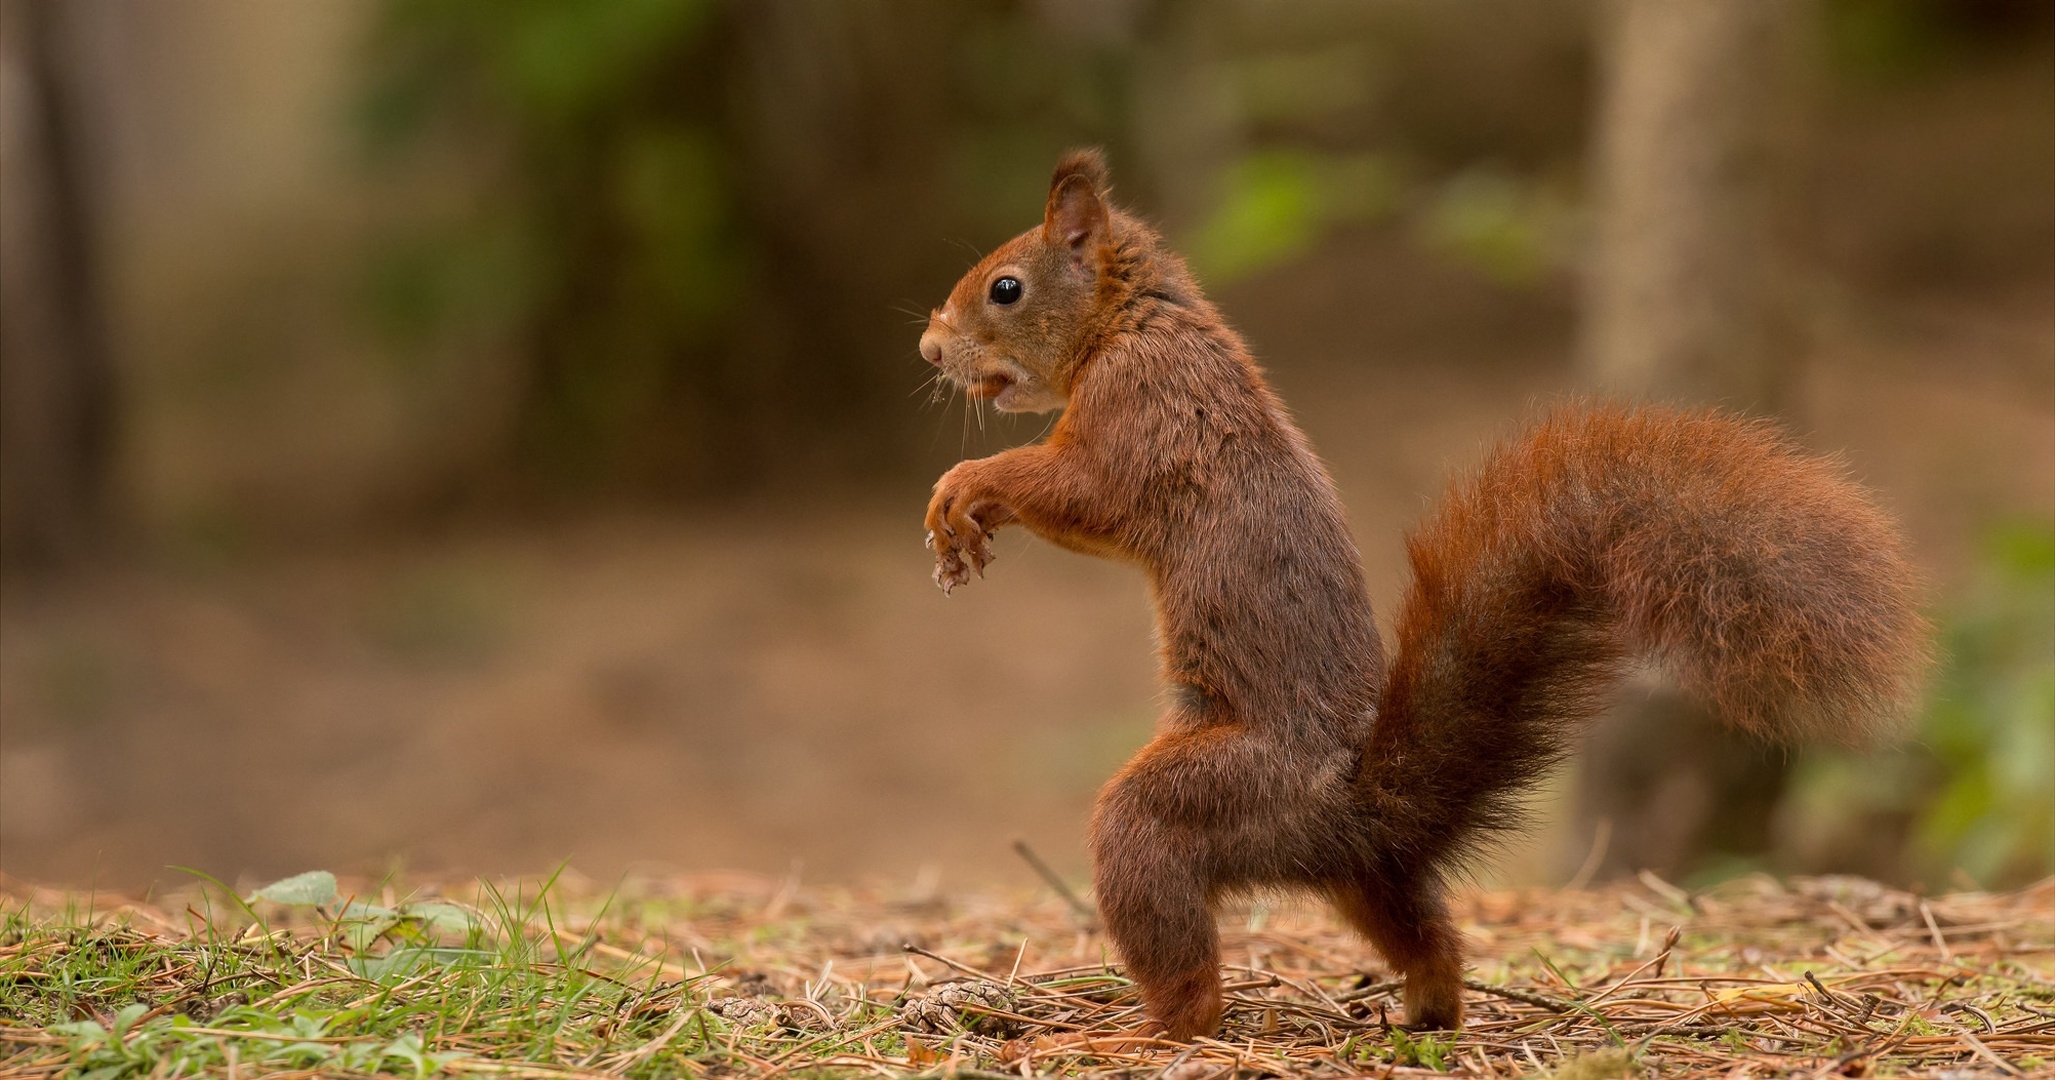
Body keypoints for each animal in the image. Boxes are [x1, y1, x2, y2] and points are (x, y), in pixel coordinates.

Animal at [916, 149, 1923, 1043]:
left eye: (1005, 288)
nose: (927, 346)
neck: (1134, 323)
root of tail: (1357, 802)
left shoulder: (1140, 416)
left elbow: (1075, 491)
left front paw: (963, 490)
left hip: (1199, 808)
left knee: (1182, 955)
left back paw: (1143, 1032)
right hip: (1360, 878)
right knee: (1422, 929)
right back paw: (1429, 1012)